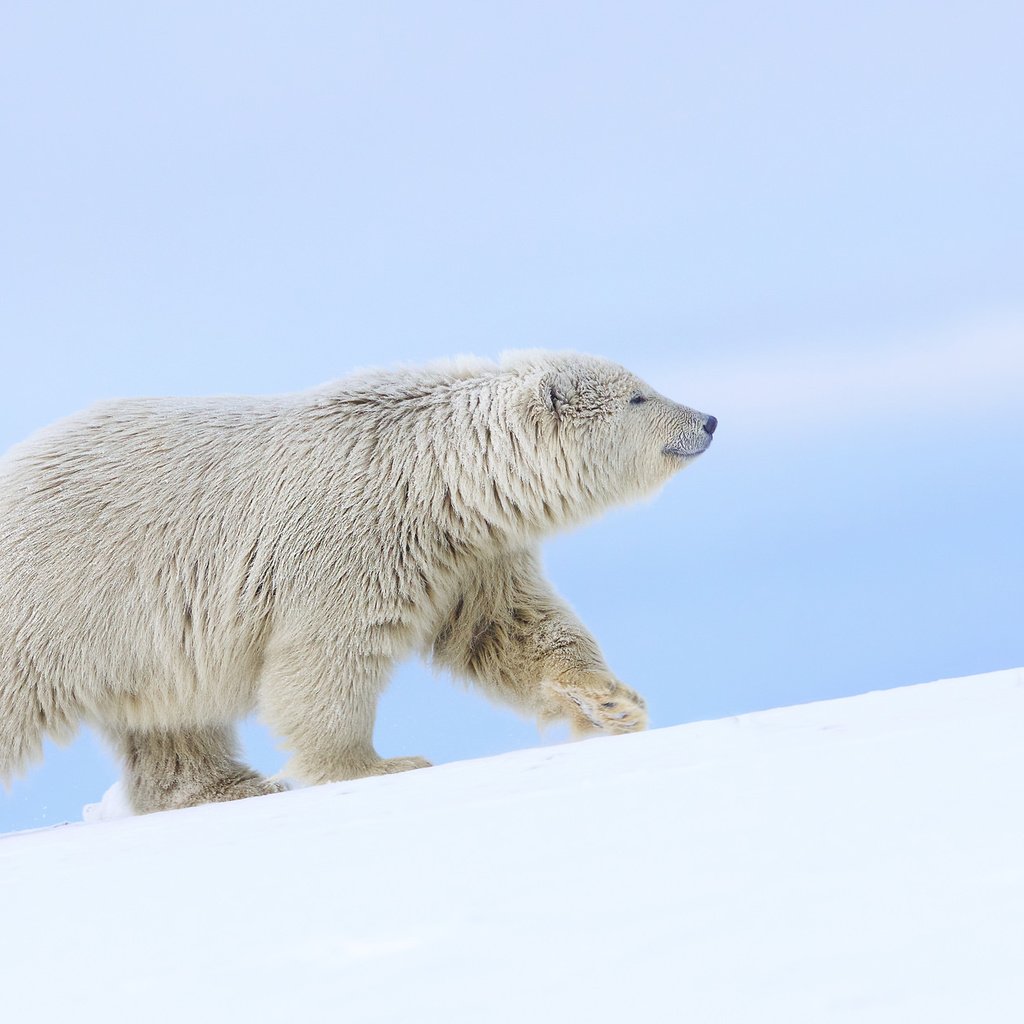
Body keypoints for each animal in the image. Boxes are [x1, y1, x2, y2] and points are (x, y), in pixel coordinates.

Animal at [0, 348, 716, 811]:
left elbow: (512, 629)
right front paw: (378, 765)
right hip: (56, 599)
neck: (433, 477)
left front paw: (612, 704)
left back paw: (229, 786)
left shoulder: (471, 555)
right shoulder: (350, 540)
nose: (707, 420)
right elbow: (326, 656)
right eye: (639, 395)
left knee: (172, 721)